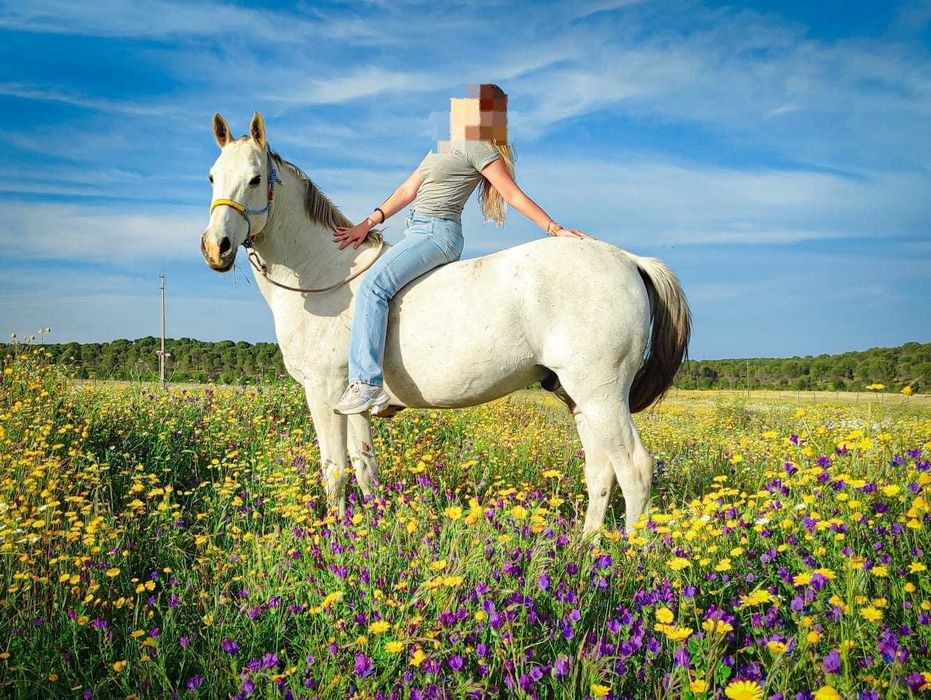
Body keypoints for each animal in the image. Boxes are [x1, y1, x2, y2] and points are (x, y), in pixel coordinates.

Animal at [200, 111, 691, 535]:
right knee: (600, 469)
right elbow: (364, 465)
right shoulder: (349, 400)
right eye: (211, 176)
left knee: (634, 469)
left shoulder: (323, 390)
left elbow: (335, 469)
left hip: (601, 394)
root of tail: (627, 259)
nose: (215, 246)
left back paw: (627, 557)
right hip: (579, 397)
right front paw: (369, 532)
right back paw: (586, 550)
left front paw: (333, 537)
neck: (325, 274)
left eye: (255, 178)